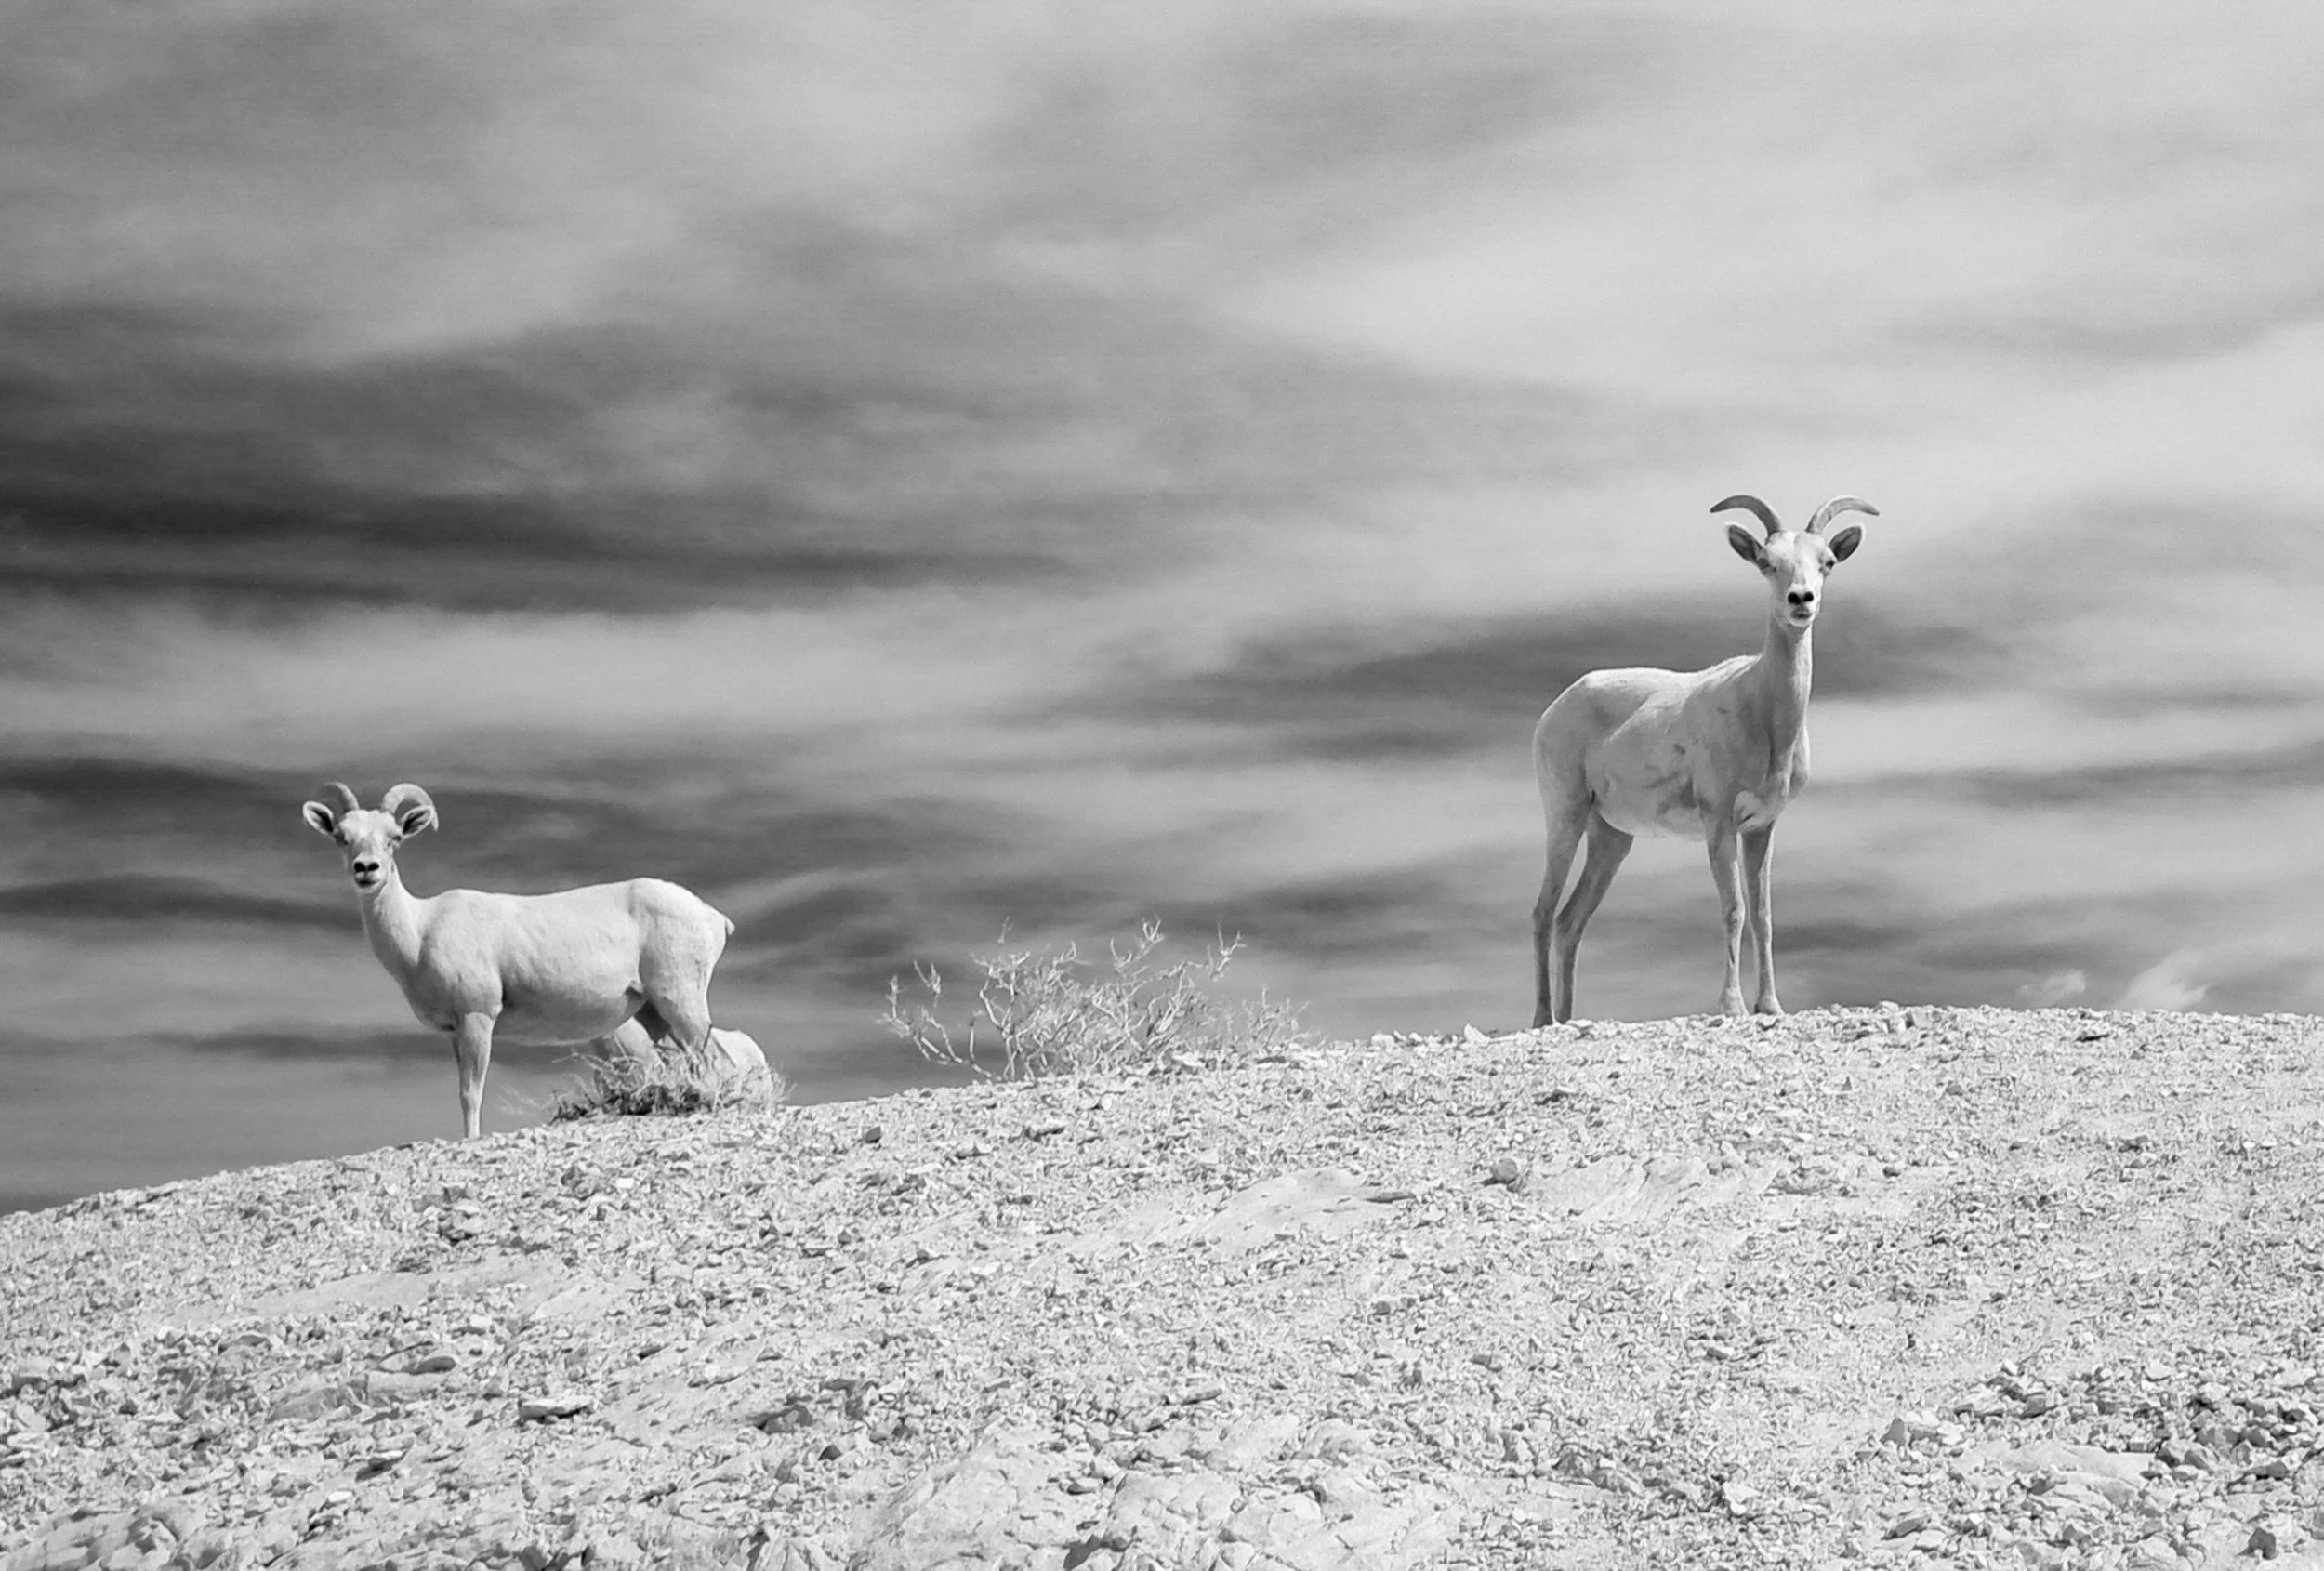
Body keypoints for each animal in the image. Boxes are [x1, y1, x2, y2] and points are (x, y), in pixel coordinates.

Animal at [301, 781, 733, 1138]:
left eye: (393, 837)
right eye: (342, 837)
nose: (367, 870)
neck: (420, 932)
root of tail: (714, 917)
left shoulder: (478, 1018)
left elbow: (471, 1093)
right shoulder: (455, 1032)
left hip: (680, 1000)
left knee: (717, 1060)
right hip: (654, 1014)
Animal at [1529, 494, 1880, 1027]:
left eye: (1827, 562)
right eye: (1766, 562)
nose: (1801, 600)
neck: (1761, 712)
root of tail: (1555, 709)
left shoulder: (1760, 827)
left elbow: (1763, 913)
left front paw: (1770, 1005)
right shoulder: (1718, 823)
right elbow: (1733, 908)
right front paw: (1732, 1006)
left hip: (1610, 838)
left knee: (1571, 921)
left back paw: (1570, 1018)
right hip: (1565, 815)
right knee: (1544, 913)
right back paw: (1541, 1019)